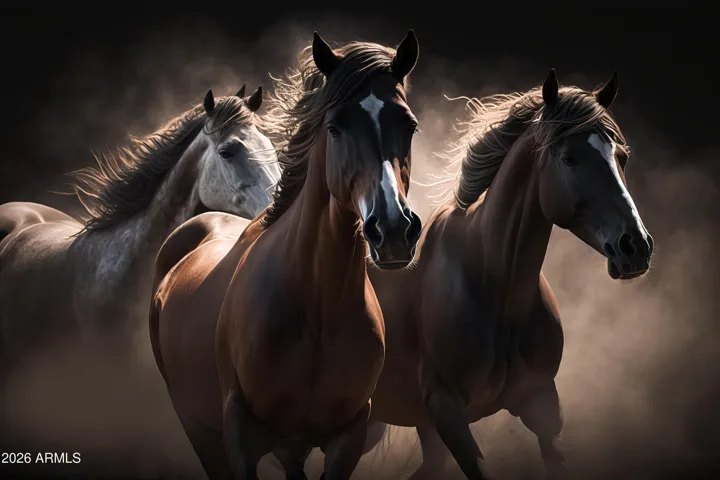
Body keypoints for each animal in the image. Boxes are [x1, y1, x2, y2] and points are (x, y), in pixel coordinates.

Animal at [150, 30, 422, 479]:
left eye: (410, 125)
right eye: (334, 127)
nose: (395, 230)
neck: (318, 311)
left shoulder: (349, 436)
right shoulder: (240, 434)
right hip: (197, 427)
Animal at [359, 70, 655, 479]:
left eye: (621, 157)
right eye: (569, 158)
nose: (635, 247)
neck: (496, 290)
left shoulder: (542, 405)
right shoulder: (447, 411)